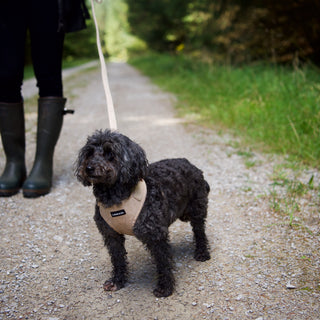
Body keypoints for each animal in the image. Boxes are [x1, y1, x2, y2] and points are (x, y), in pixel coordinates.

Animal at [74, 130, 210, 298]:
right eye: (89, 152)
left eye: (110, 153)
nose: (89, 168)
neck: (115, 198)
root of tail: (191, 165)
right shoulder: (111, 235)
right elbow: (118, 259)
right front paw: (117, 281)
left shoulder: (155, 235)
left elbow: (163, 262)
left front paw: (165, 287)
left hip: (197, 210)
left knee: (200, 232)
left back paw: (202, 253)